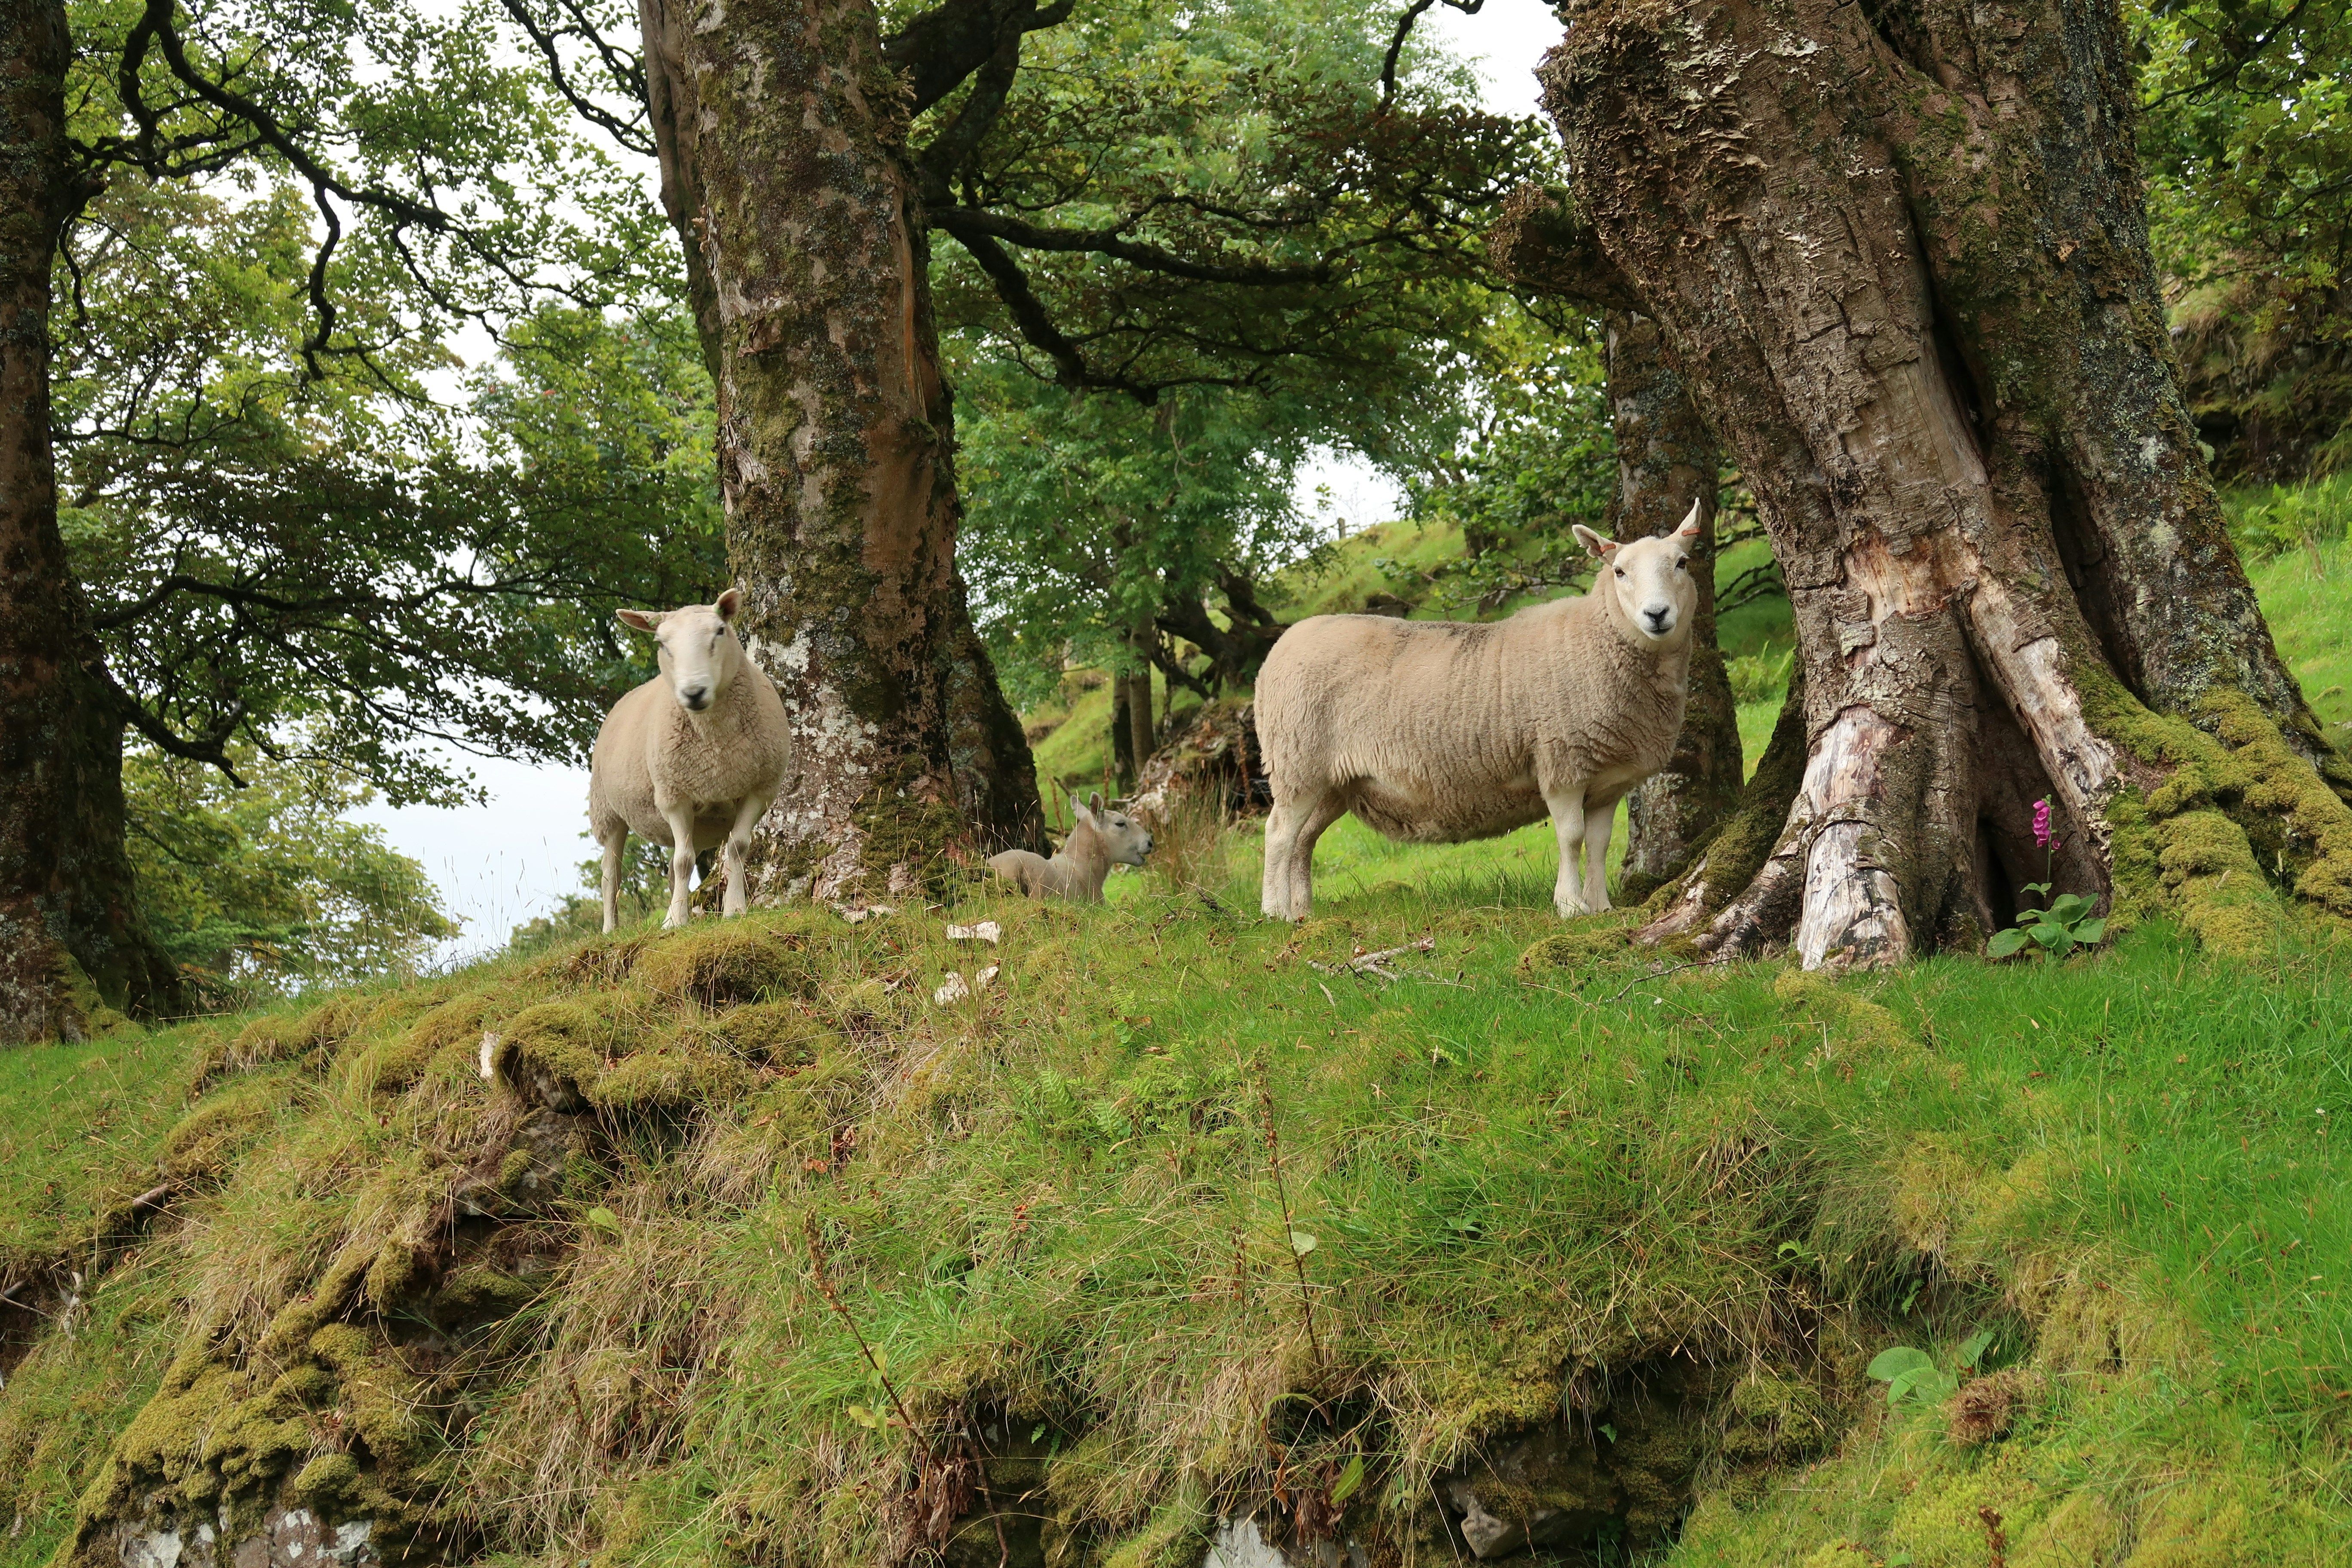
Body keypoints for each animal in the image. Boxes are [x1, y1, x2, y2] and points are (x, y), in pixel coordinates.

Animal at [589, 589, 793, 931]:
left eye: (720, 631)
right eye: (661, 644)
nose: (694, 693)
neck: (717, 746)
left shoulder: (760, 790)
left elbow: (737, 848)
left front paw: (734, 909)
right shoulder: (674, 795)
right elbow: (684, 861)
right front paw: (674, 921)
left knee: (672, 866)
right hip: (608, 811)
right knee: (611, 874)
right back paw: (610, 929)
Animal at [1256, 504, 1703, 922]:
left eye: (1682, 563)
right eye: (1620, 571)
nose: (1657, 614)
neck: (1599, 638)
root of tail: (1281, 647)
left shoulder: (1607, 779)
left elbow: (1598, 843)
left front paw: (1601, 907)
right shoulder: (1561, 763)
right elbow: (1571, 837)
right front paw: (1570, 906)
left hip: (1334, 781)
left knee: (1304, 840)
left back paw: (1302, 912)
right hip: (1297, 760)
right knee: (1279, 834)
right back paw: (1275, 912)